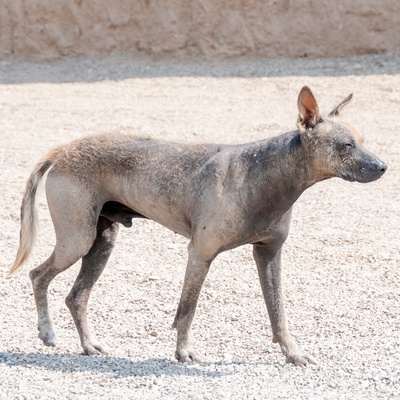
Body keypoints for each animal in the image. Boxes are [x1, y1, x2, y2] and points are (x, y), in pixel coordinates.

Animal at [8, 86, 384, 366]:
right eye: (346, 145)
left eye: (363, 140)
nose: (383, 166)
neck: (268, 171)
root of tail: (60, 150)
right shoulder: (200, 254)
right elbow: (187, 310)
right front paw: (183, 352)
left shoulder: (269, 255)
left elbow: (278, 312)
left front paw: (292, 354)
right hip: (77, 240)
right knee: (38, 276)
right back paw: (47, 333)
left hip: (101, 242)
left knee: (76, 297)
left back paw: (89, 346)